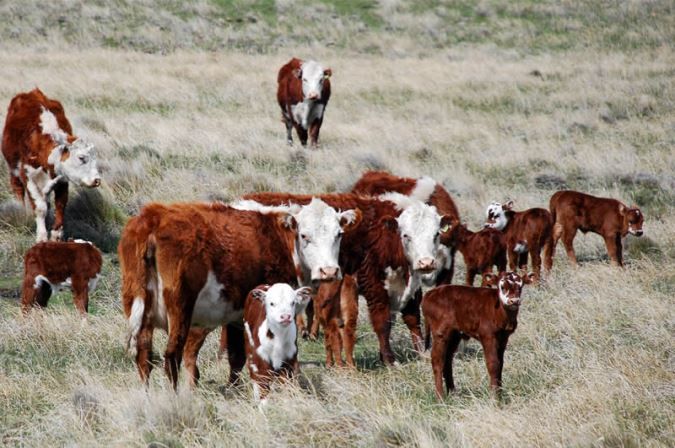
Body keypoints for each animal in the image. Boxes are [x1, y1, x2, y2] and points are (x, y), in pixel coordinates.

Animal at [1, 87, 101, 242]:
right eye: (81, 157)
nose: (96, 180)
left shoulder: (63, 180)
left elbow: (60, 205)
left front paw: (55, 235)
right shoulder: (28, 177)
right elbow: (40, 207)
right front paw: (42, 236)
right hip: (13, 170)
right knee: (17, 189)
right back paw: (21, 209)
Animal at [119, 200, 360, 388]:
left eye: (339, 234)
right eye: (304, 235)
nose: (329, 271)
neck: (282, 242)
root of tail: (153, 217)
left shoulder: (235, 315)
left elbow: (236, 357)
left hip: (139, 307)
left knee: (144, 356)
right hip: (180, 308)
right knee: (171, 356)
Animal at [235, 191, 452, 366]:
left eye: (436, 235)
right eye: (406, 235)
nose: (426, 262)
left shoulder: (410, 287)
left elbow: (413, 320)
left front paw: (421, 354)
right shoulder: (373, 285)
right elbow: (382, 323)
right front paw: (389, 360)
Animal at [426, 270, 536, 400]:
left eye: (520, 287)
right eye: (502, 287)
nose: (514, 301)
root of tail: (429, 294)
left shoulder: (504, 337)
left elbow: (501, 363)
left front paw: (500, 393)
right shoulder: (488, 335)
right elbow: (493, 364)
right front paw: (495, 397)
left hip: (455, 334)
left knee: (448, 359)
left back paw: (452, 392)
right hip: (440, 333)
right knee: (437, 360)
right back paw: (441, 396)